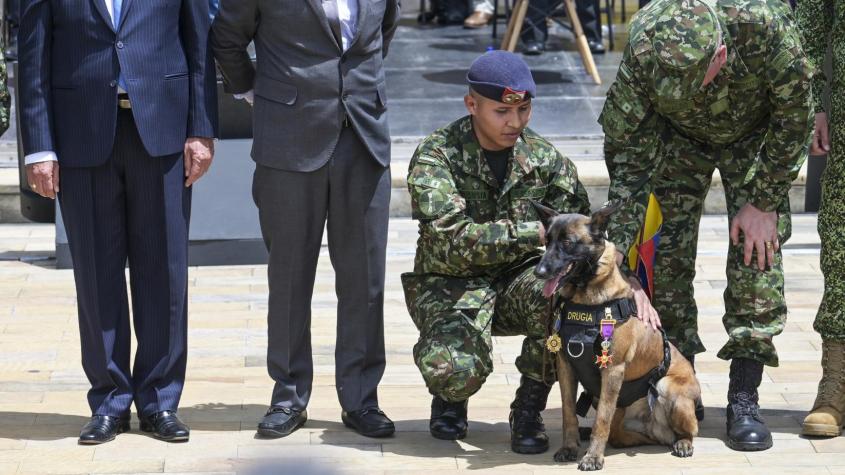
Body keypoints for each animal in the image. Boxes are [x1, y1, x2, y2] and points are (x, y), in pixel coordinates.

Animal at [536, 204, 700, 472]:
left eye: (568, 243)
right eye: (547, 242)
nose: (538, 272)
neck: (585, 299)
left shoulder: (612, 369)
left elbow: (602, 420)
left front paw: (593, 457)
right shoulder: (566, 366)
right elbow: (568, 413)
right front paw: (570, 447)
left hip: (668, 387)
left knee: (687, 431)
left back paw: (683, 442)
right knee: (623, 436)